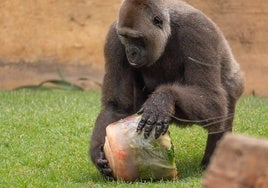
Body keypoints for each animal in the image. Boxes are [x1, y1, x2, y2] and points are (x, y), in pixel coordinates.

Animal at [89, 0, 244, 179]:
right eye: (126, 37)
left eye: (137, 38)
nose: (130, 52)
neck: (167, 30)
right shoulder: (114, 38)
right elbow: (117, 106)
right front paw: (97, 151)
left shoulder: (197, 29)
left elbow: (211, 98)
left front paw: (162, 99)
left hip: (235, 83)